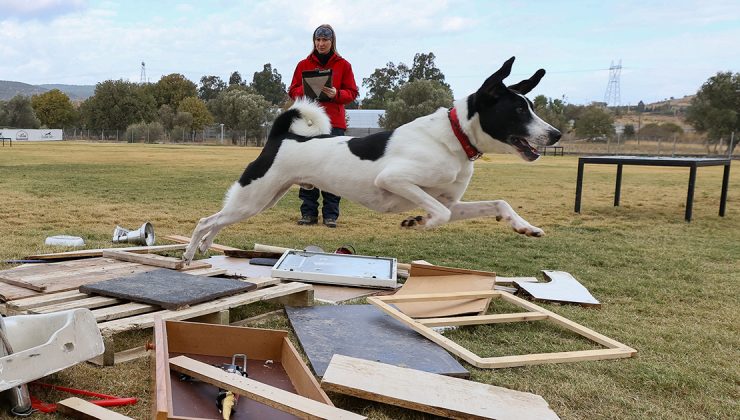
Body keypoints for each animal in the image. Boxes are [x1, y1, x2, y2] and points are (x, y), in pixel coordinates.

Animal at [184, 55, 560, 262]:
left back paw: (206, 247)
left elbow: (499, 203)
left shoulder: (453, 204)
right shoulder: (396, 180)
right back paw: (189, 253)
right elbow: (435, 214)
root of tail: (281, 136)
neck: (454, 138)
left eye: (530, 107)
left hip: (261, 200)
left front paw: (524, 226)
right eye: (517, 110)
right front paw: (416, 221)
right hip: (254, 197)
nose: (556, 135)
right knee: (205, 220)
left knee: (217, 221)